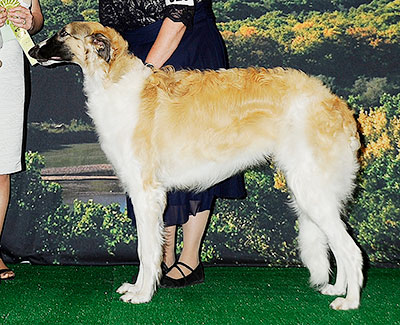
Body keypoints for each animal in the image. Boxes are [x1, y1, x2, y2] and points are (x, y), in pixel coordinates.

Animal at [29, 21, 364, 310]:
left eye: (63, 33)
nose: (32, 51)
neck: (117, 82)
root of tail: (336, 103)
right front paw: (138, 288)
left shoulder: (146, 192)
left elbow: (146, 251)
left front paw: (141, 294)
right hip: (315, 191)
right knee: (338, 244)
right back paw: (337, 289)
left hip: (310, 189)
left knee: (351, 249)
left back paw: (350, 302)